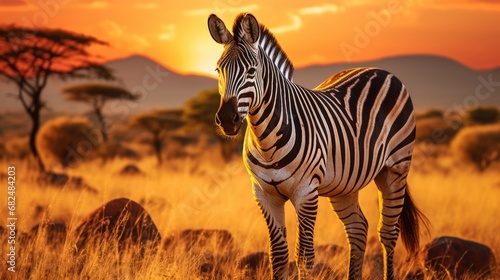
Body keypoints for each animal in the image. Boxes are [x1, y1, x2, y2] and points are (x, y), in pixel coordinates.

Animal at [207, 13, 426, 280]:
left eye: (251, 71)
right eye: (218, 70)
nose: (227, 119)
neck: (266, 141)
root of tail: (380, 71)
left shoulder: (306, 192)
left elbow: (305, 257)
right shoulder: (264, 194)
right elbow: (278, 255)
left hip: (396, 168)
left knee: (387, 232)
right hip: (344, 184)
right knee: (358, 228)